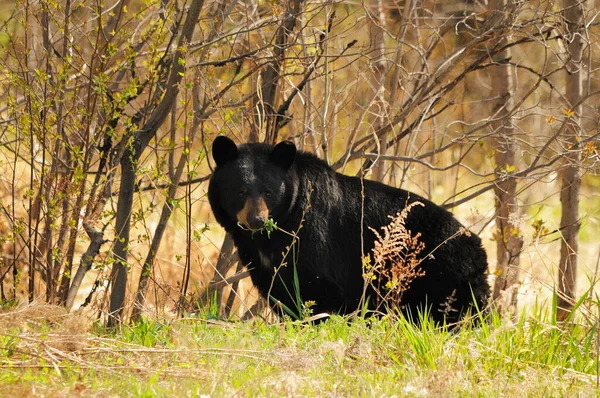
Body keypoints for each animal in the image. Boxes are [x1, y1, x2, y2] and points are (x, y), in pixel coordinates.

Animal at [209, 137, 490, 324]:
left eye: (268, 192)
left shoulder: (313, 238)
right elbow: (282, 292)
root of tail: (478, 248)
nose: (256, 220)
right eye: (240, 191)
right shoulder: (261, 260)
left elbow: (318, 290)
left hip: (442, 276)